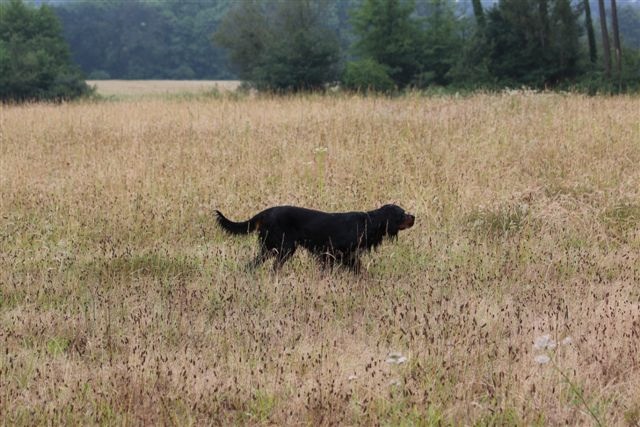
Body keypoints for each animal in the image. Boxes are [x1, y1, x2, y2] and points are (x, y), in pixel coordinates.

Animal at [215, 204, 416, 270]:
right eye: (402, 213)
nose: (414, 217)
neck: (367, 222)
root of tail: (265, 212)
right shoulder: (332, 253)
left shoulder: (346, 256)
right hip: (284, 247)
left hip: (271, 247)